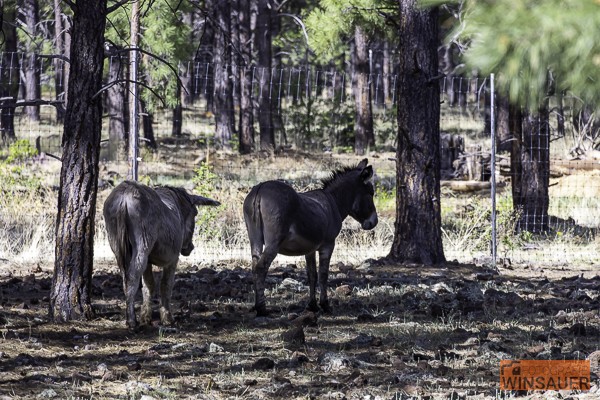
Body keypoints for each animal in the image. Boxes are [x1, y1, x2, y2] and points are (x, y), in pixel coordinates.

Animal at [103, 180, 220, 329]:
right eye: (195, 213)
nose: (190, 247)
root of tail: (125, 194)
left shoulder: (149, 261)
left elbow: (149, 286)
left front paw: (145, 317)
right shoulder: (172, 259)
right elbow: (166, 285)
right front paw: (167, 318)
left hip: (117, 247)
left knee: (125, 279)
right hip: (142, 245)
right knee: (132, 277)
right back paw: (131, 321)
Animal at [243, 158, 378, 316]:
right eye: (371, 193)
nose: (374, 222)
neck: (334, 202)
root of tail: (261, 188)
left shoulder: (310, 249)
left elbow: (312, 275)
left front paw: (312, 306)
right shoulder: (328, 244)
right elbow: (323, 274)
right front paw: (325, 305)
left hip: (254, 239)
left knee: (254, 266)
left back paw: (257, 305)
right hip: (273, 242)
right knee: (261, 267)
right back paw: (262, 308)